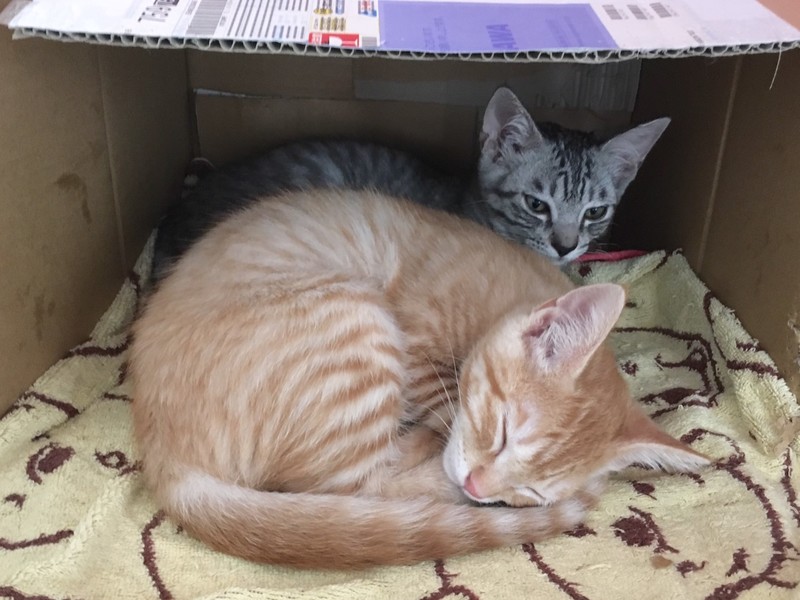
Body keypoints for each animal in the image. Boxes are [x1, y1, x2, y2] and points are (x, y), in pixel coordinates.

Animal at [131, 188, 708, 570]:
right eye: (503, 431)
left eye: (531, 491)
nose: (479, 488)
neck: (517, 285)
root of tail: (160, 448)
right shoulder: (417, 344)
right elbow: (443, 402)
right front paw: (443, 438)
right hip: (355, 327)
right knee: (353, 486)